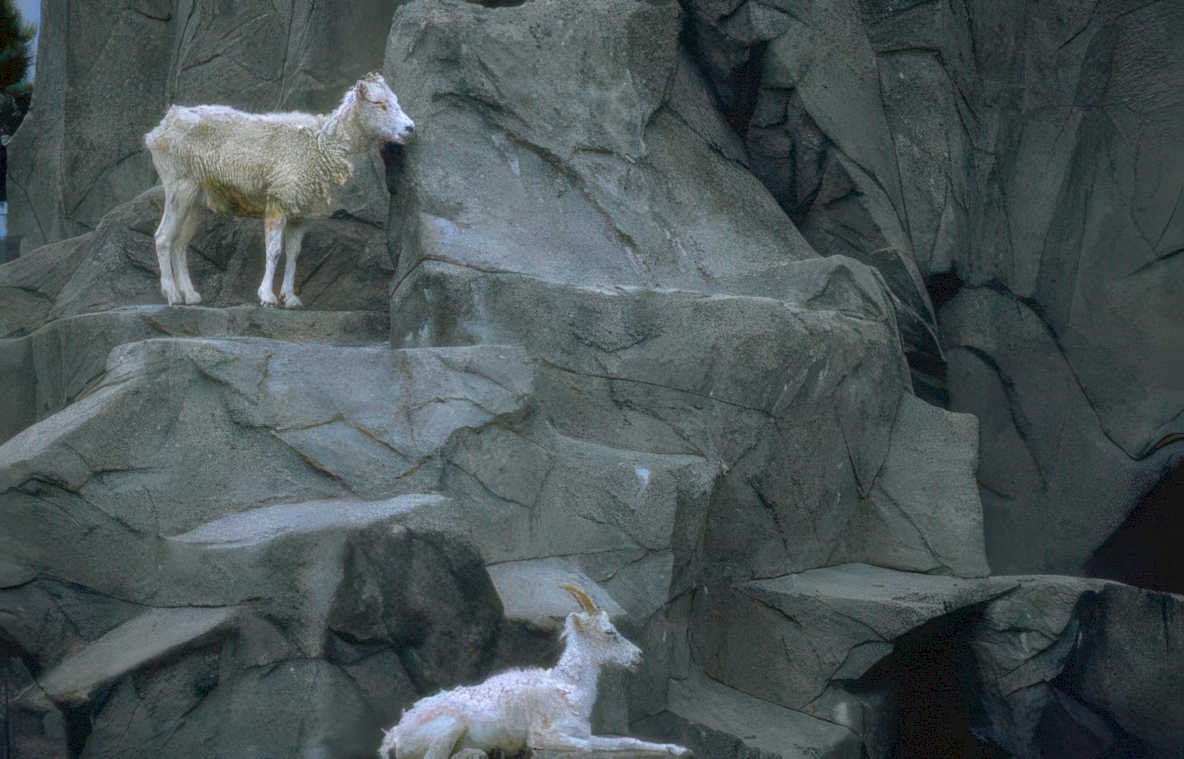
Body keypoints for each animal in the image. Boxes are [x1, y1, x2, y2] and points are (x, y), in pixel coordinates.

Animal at [143, 72, 414, 308]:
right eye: (380, 104)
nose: (409, 128)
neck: (320, 146)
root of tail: (159, 131)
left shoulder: (301, 216)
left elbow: (293, 254)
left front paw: (291, 299)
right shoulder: (279, 203)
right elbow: (273, 251)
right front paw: (267, 298)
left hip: (196, 202)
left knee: (180, 243)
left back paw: (190, 296)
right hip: (179, 187)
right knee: (163, 237)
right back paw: (172, 296)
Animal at [378, 585, 691, 758]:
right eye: (609, 632)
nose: (638, 656)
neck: (568, 691)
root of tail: (393, 736)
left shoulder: (584, 733)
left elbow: (626, 741)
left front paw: (680, 749)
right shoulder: (543, 737)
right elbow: (588, 748)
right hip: (449, 727)